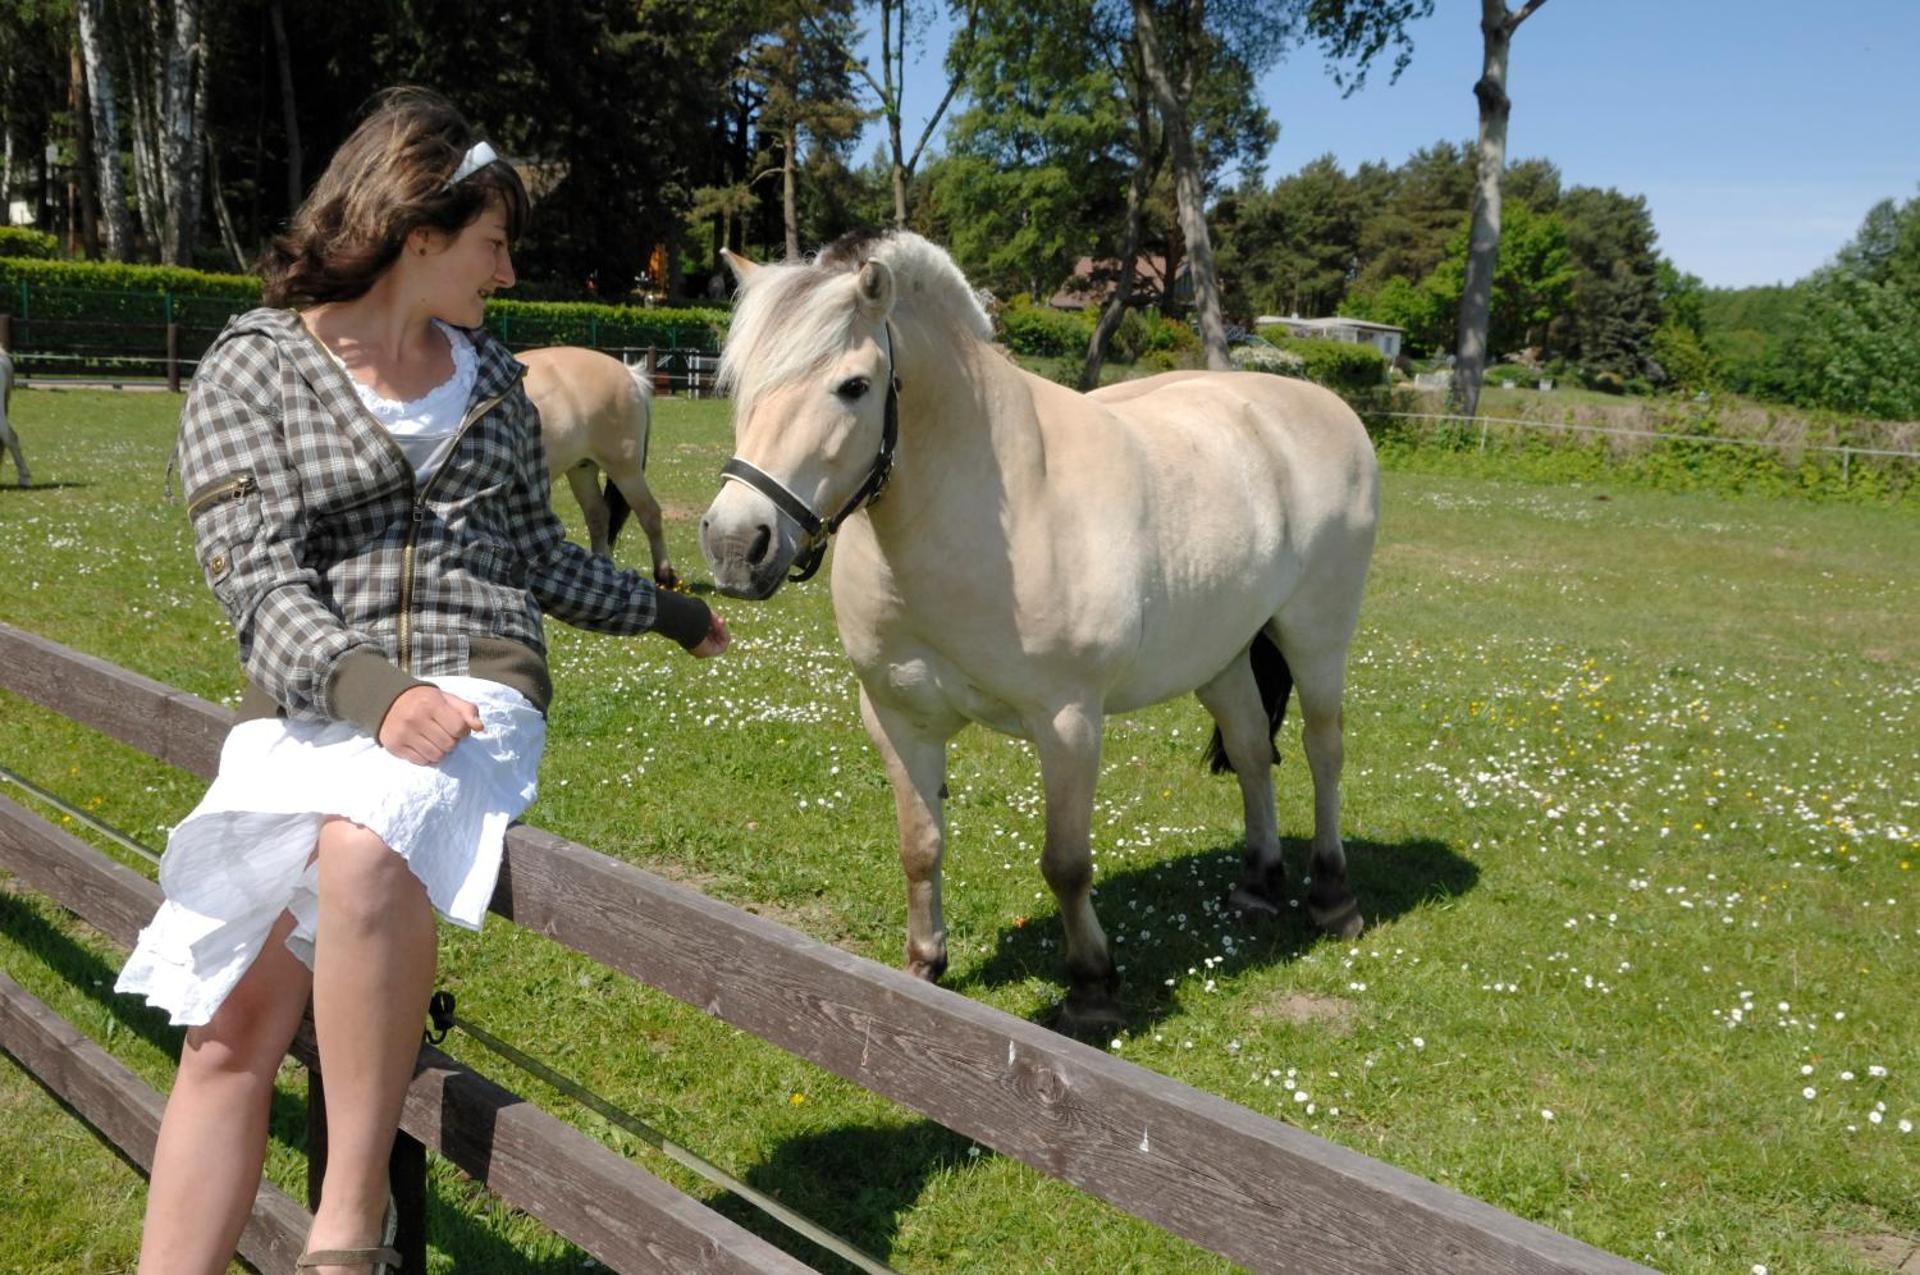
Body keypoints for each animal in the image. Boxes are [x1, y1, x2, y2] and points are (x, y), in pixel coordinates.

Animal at [517, 346, 678, 587]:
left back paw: (664, 574)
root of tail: (629, 373)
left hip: (625, 469)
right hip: (582, 468)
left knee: (649, 514)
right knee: (598, 516)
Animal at [698, 230, 1378, 1035]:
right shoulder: (897, 717)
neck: (984, 515)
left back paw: (1332, 897)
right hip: (1222, 654)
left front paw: (1092, 987)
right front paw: (924, 964)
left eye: (854, 386)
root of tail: (1323, 407)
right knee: (1249, 750)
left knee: (1322, 750)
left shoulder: (1069, 722)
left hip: (1317, 636)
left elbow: (1066, 862)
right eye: (736, 380)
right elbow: (919, 844)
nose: (736, 545)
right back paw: (1257, 885)